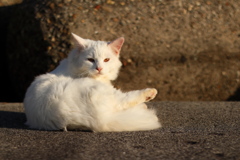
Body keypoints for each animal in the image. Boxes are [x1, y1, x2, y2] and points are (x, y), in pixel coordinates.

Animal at [23, 33, 160, 132]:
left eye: (106, 60)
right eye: (90, 60)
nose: (99, 68)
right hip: (107, 93)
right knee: (124, 100)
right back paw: (149, 94)